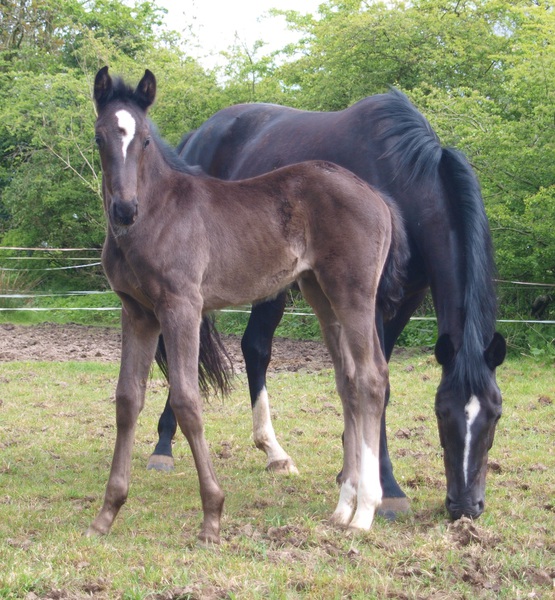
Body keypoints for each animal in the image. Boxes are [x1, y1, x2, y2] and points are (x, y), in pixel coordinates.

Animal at [88, 66, 409, 544]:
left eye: (144, 139)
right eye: (100, 137)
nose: (125, 210)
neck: (157, 214)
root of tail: (377, 196)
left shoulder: (182, 307)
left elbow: (187, 401)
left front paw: (212, 516)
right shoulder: (138, 313)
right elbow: (127, 399)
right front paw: (107, 513)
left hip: (353, 293)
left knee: (371, 378)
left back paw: (365, 512)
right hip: (319, 293)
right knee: (349, 380)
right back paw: (343, 507)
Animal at [148, 87, 507, 521]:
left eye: (496, 413)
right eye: (442, 412)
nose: (465, 506)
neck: (404, 181)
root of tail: (196, 135)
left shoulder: (405, 300)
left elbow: (369, 382)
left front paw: (352, 473)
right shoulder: (371, 299)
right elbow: (378, 385)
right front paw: (388, 490)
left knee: (255, 347)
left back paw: (274, 453)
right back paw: (163, 447)